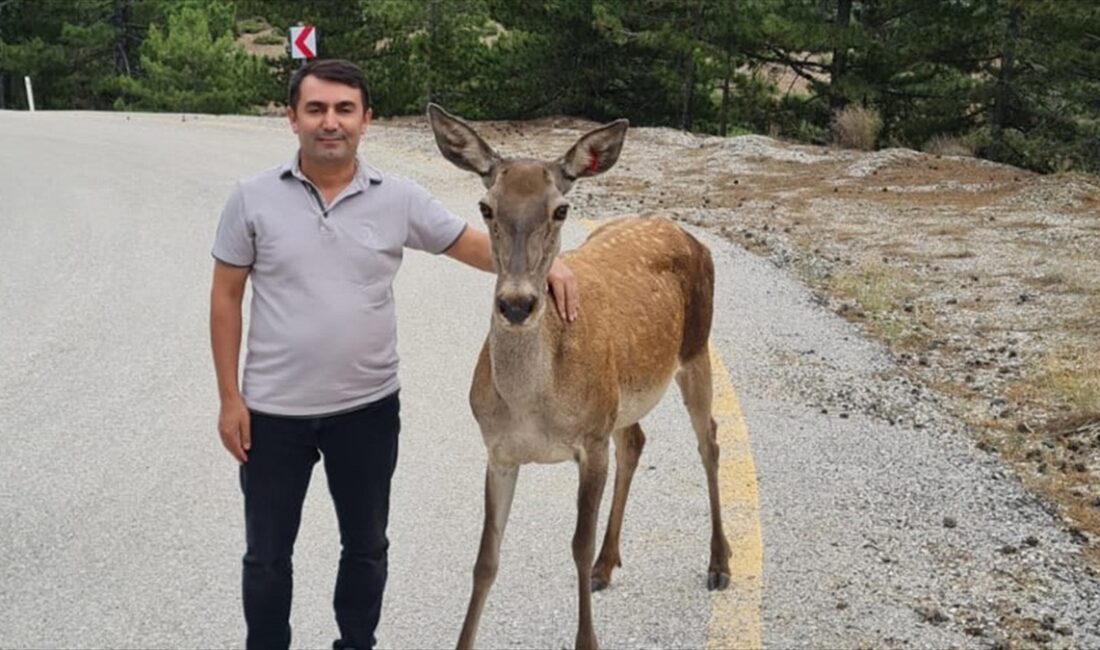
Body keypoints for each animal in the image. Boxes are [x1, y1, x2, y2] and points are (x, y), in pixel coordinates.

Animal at [429, 102, 730, 650]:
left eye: (560, 209)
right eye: (486, 207)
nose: (517, 304)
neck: (532, 406)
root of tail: (684, 232)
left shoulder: (590, 440)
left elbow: (575, 545)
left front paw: (587, 637)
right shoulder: (499, 450)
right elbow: (485, 559)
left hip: (696, 349)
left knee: (710, 440)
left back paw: (719, 563)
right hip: (622, 398)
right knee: (636, 441)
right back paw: (607, 565)